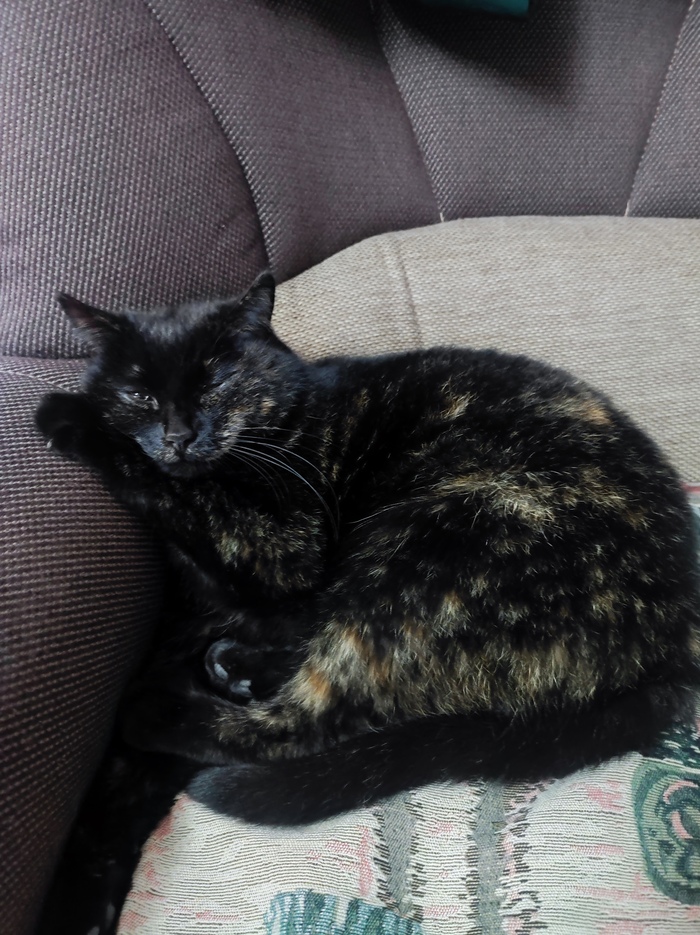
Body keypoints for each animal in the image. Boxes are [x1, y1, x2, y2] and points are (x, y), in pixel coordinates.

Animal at [36, 272, 700, 837]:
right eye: (140, 393)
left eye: (216, 382)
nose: (179, 436)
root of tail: (671, 655)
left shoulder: (283, 546)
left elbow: (172, 489)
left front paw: (70, 415)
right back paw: (237, 666)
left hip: (438, 539)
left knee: (307, 722)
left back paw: (156, 706)